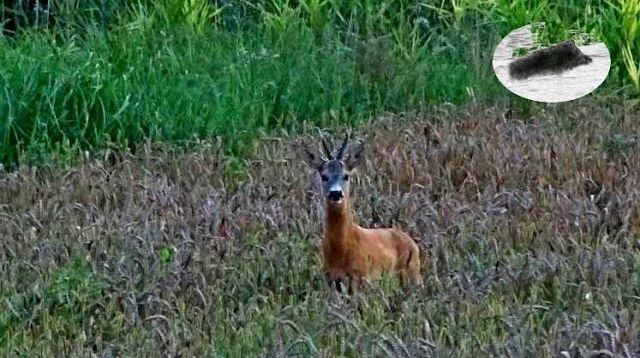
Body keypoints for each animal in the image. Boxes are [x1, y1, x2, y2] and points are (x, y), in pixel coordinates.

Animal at [302, 133, 422, 292]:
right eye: (324, 176)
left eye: (346, 176)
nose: (335, 193)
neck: (342, 249)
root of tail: (411, 241)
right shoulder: (330, 279)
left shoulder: (363, 277)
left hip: (413, 274)